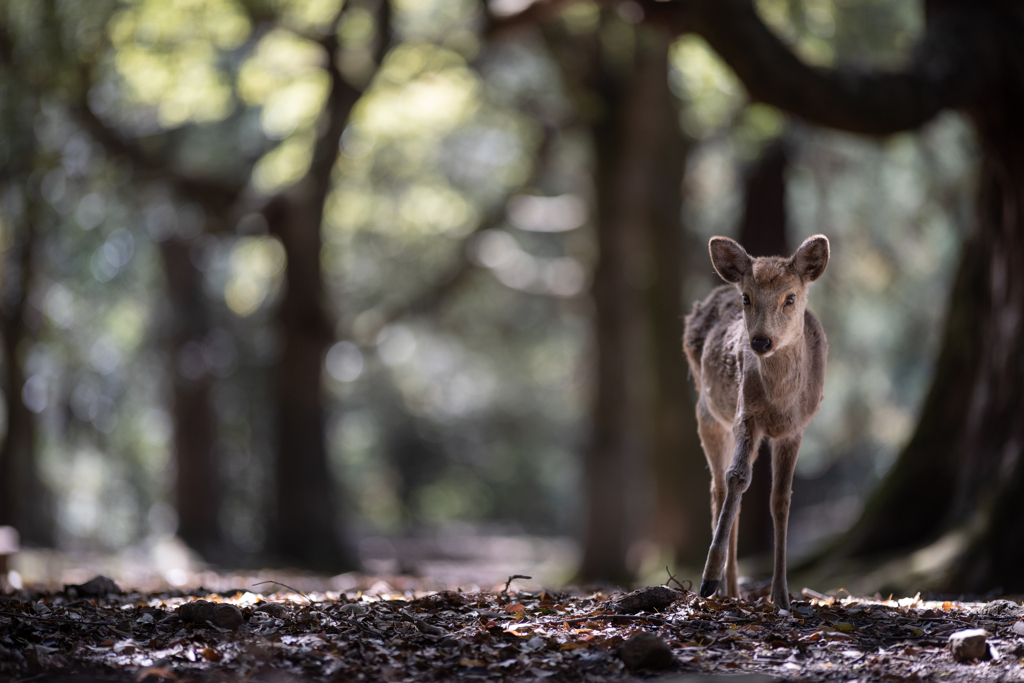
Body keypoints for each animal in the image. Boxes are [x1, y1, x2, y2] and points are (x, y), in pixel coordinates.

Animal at [679, 233, 831, 610]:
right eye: (747, 297)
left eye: (790, 297)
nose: (761, 341)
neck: (780, 402)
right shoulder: (745, 416)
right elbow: (736, 478)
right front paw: (708, 579)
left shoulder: (795, 429)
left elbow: (781, 499)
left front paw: (781, 596)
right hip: (708, 412)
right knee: (719, 488)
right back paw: (727, 588)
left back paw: (735, 590)